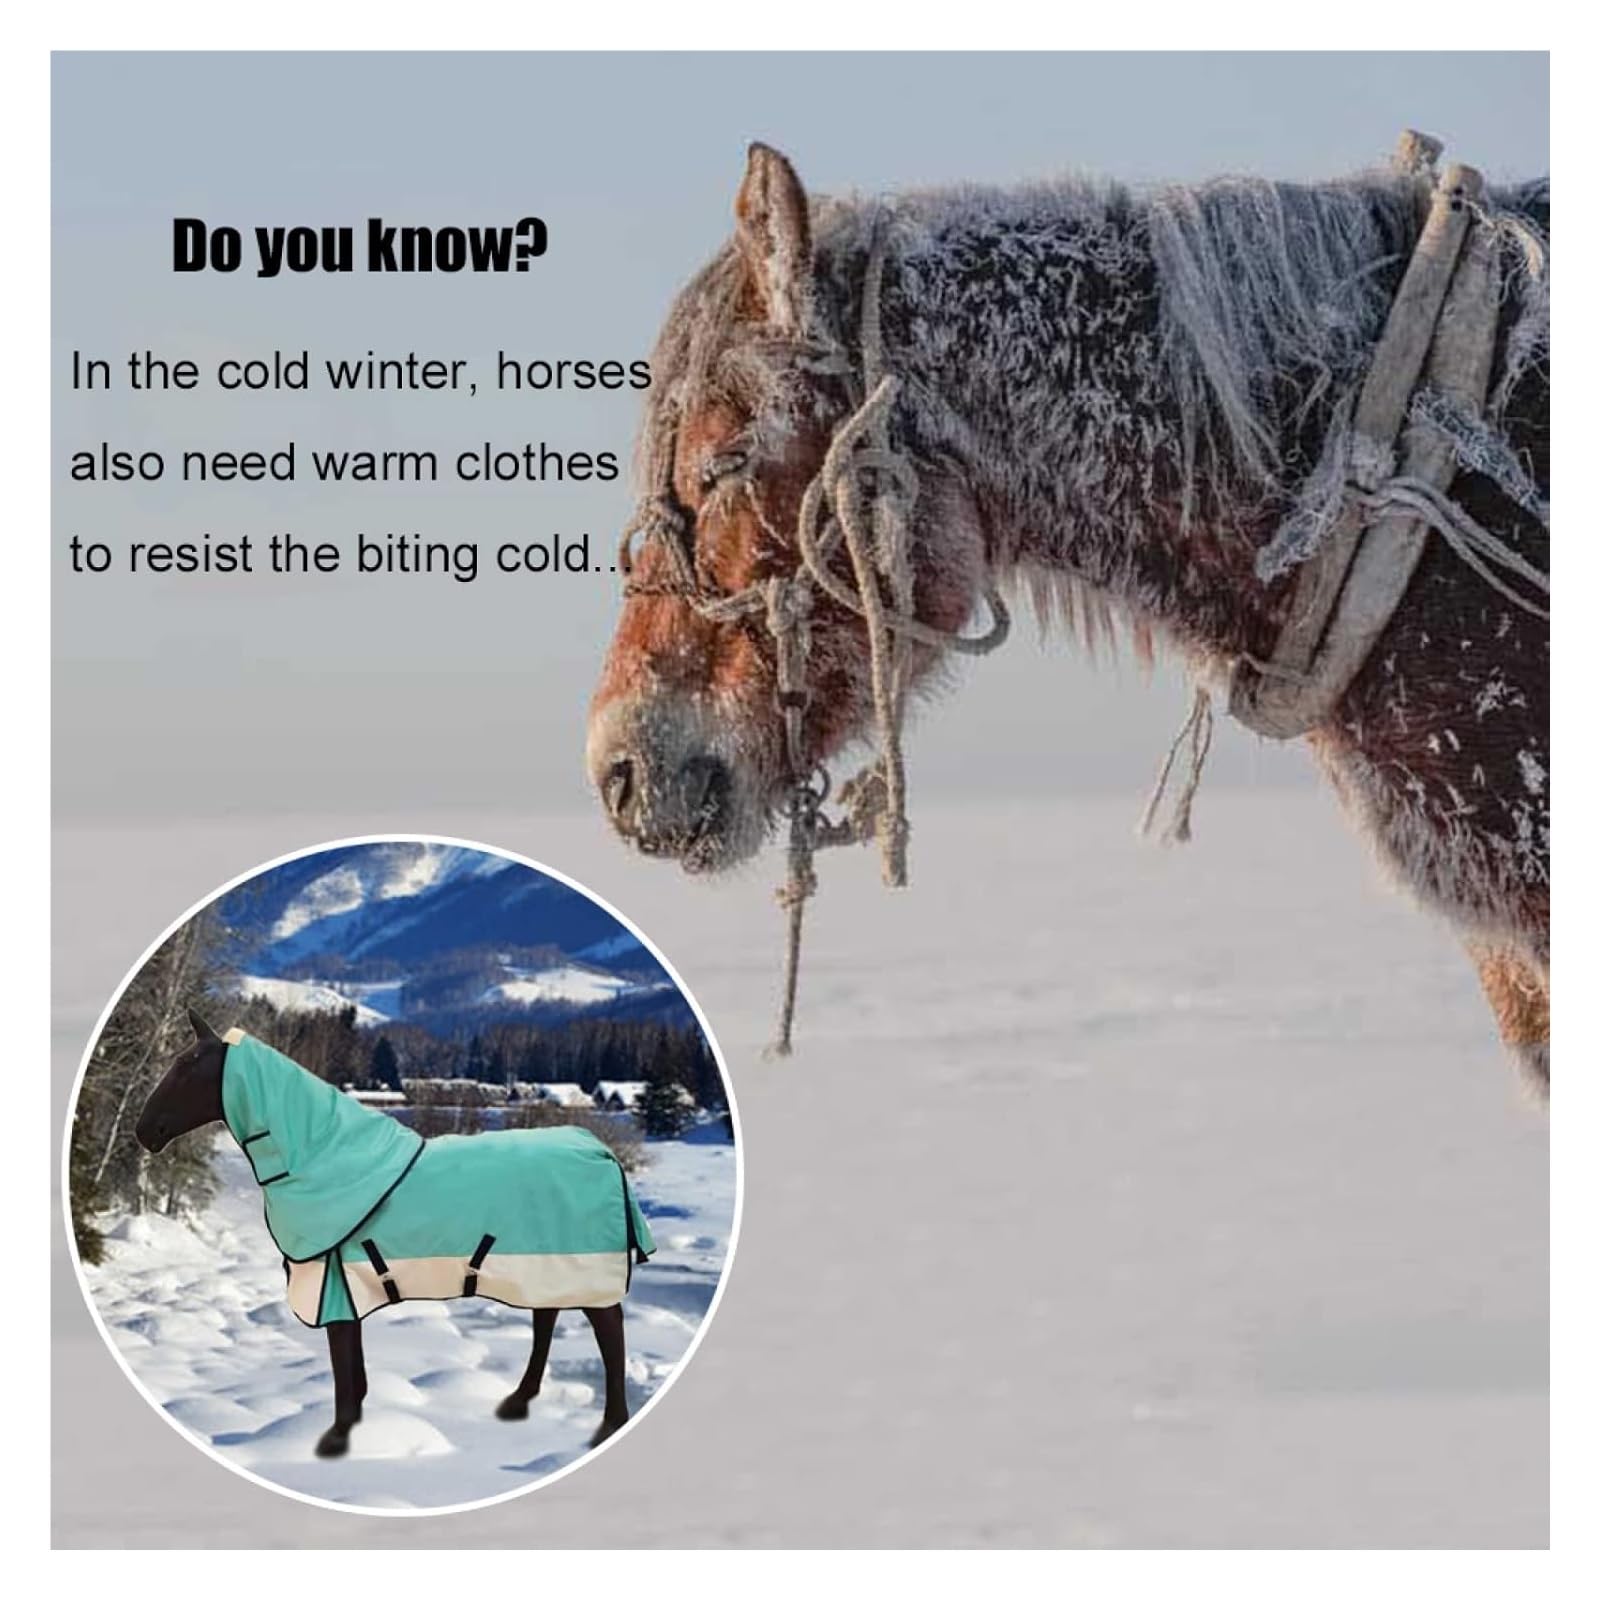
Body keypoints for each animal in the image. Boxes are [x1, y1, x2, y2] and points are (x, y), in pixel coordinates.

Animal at [135, 1011, 654, 1459]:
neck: (323, 1155)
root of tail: (600, 1150)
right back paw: (518, 1401)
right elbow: (355, 1369)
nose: (143, 1132)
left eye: (186, 1068)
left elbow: (344, 1370)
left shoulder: (331, 1284)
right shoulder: (345, 1283)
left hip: (581, 1270)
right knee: (546, 1319)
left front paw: (335, 1441)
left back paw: (609, 1424)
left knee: (609, 1331)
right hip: (544, 1267)